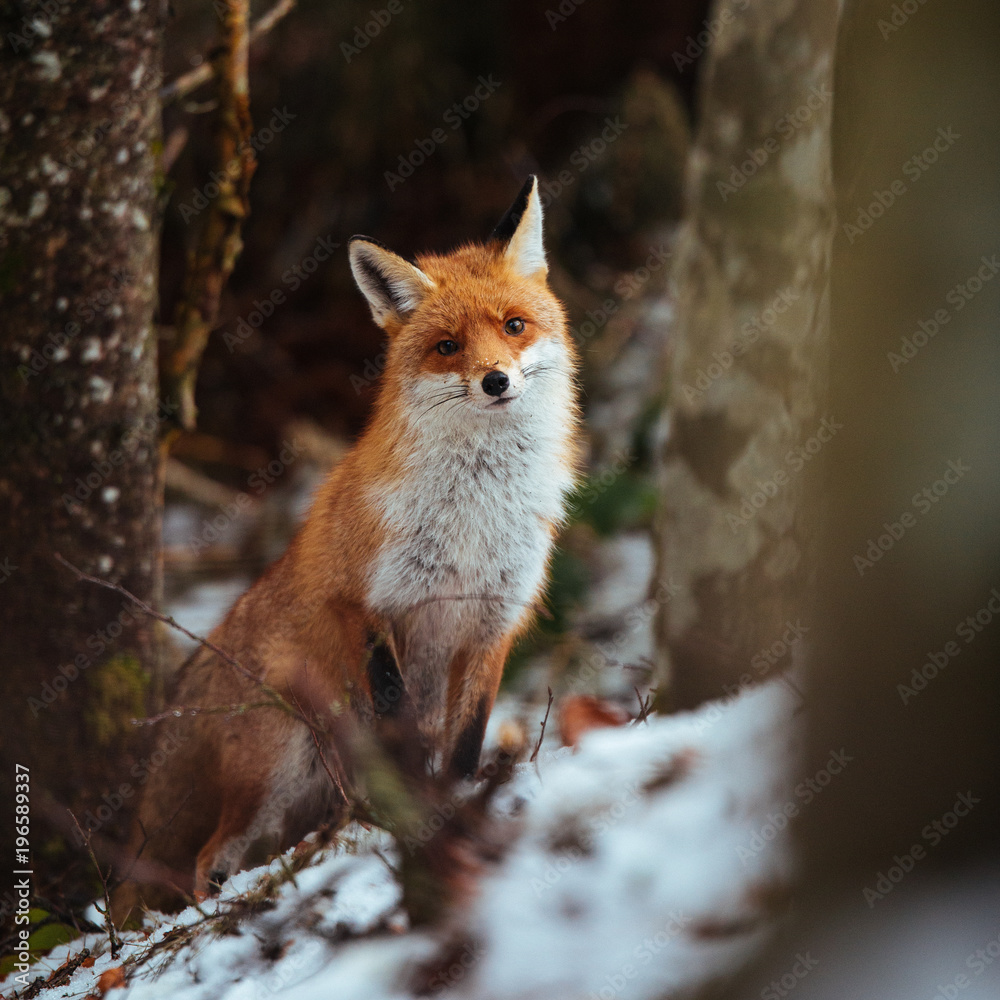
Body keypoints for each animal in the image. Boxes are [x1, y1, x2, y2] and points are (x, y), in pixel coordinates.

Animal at [111, 176, 581, 920]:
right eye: (447, 346)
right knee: (207, 858)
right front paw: (418, 810)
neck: (472, 518)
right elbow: (395, 712)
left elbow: (466, 740)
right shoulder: (360, 601)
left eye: (514, 326)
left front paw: (455, 801)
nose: (496, 380)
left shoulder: (493, 620)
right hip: (279, 759)